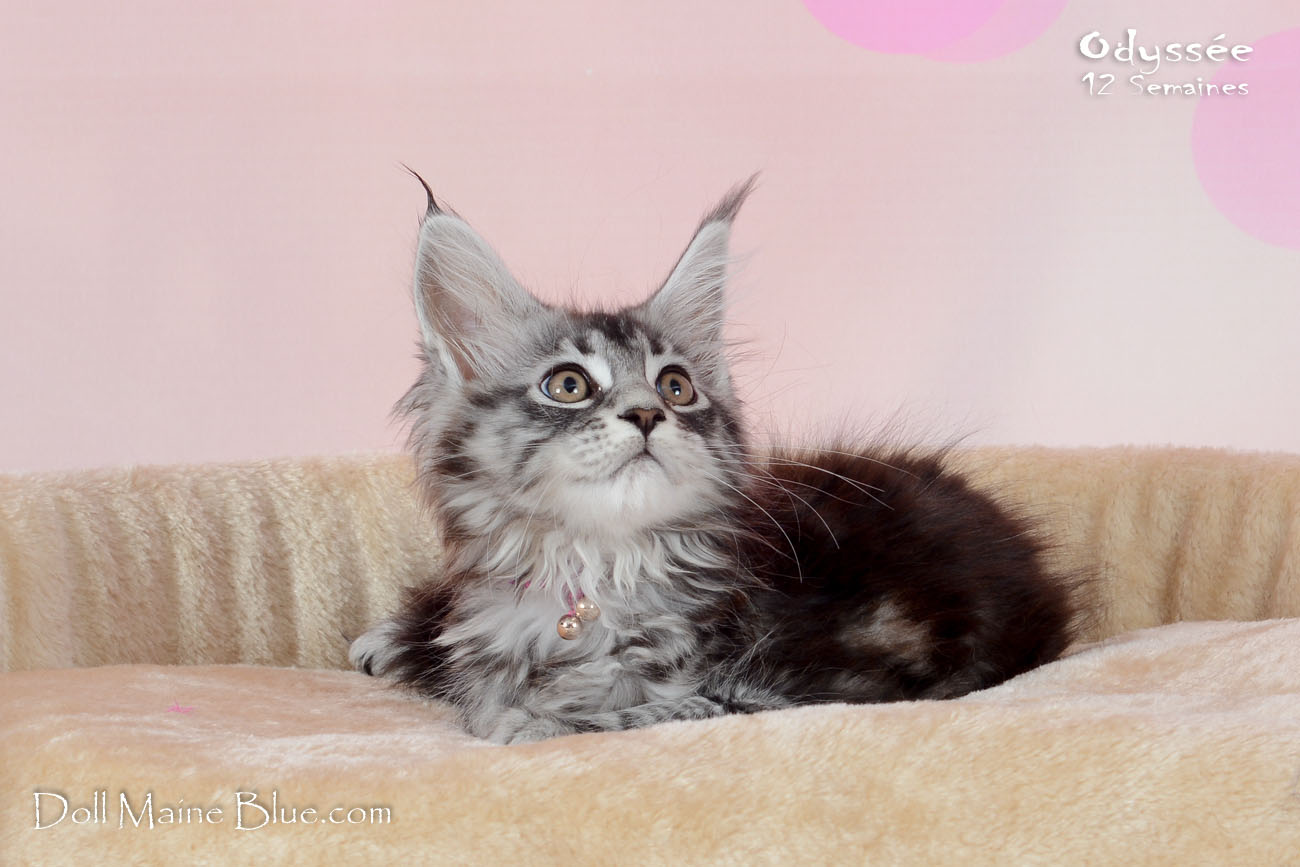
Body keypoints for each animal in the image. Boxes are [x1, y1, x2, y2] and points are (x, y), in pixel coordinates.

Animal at [349, 174, 1080, 744]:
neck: (598, 574)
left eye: (677, 386)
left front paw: (534, 721)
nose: (648, 414)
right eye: (569, 385)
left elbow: (660, 710)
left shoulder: (815, 685)